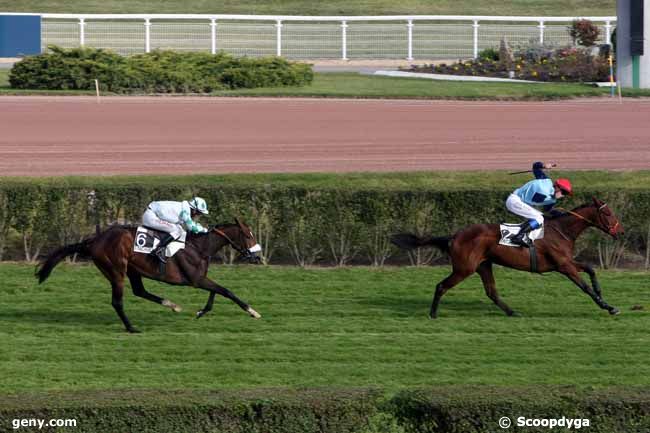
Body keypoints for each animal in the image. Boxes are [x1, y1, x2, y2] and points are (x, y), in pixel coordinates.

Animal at [35, 218, 262, 332]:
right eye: (248, 235)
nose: (258, 256)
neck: (199, 246)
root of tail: (94, 240)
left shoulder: (199, 279)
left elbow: (217, 292)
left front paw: (200, 311)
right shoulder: (196, 279)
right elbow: (226, 291)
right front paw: (252, 311)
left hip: (133, 270)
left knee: (139, 291)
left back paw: (172, 305)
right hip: (116, 270)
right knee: (117, 301)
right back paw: (131, 328)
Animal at [390, 197, 624, 318]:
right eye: (608, 213)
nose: (620, 232)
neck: (561, 230)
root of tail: (454, 236)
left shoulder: (566, 262)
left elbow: (591, 269)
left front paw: (603, 296)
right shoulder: (563, 265)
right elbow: (584, 286)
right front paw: (608, 306)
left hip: (484, 265)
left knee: (491, 292)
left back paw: (512, 312)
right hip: (464, 268)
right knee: (441, 286)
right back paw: (433, 314)